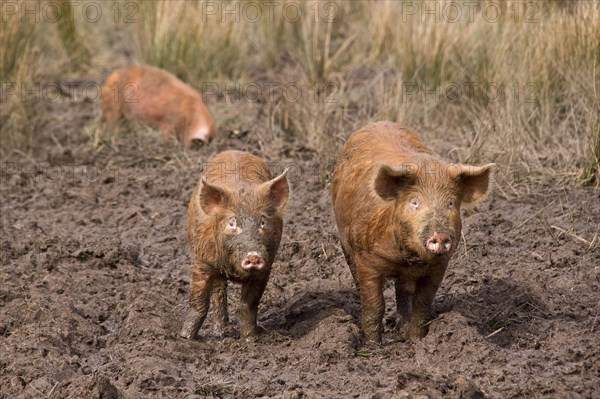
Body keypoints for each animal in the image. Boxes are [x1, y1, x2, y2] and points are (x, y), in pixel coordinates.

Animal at [180, 151, 288, 340]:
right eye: (232, 223)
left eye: (263, 222)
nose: (253, 256)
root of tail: (234, 151)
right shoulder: (201, 262)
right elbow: (198, 302)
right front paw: (185, 338)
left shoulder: (266, 268)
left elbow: (249, 304)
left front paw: (250, 339)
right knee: (218, 292)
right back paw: (219, 332)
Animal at [330, 122, 494, 344]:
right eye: (414, 202)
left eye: (451, 203)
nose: (440, 235)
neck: (408, 259)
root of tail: (379, 122)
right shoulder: (367, 261)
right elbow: (375, 306)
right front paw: (373, 346)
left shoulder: (439, 266)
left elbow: (422, 304)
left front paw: (416, 340)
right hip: (345, 243)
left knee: (402, 292)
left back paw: (402, 329)